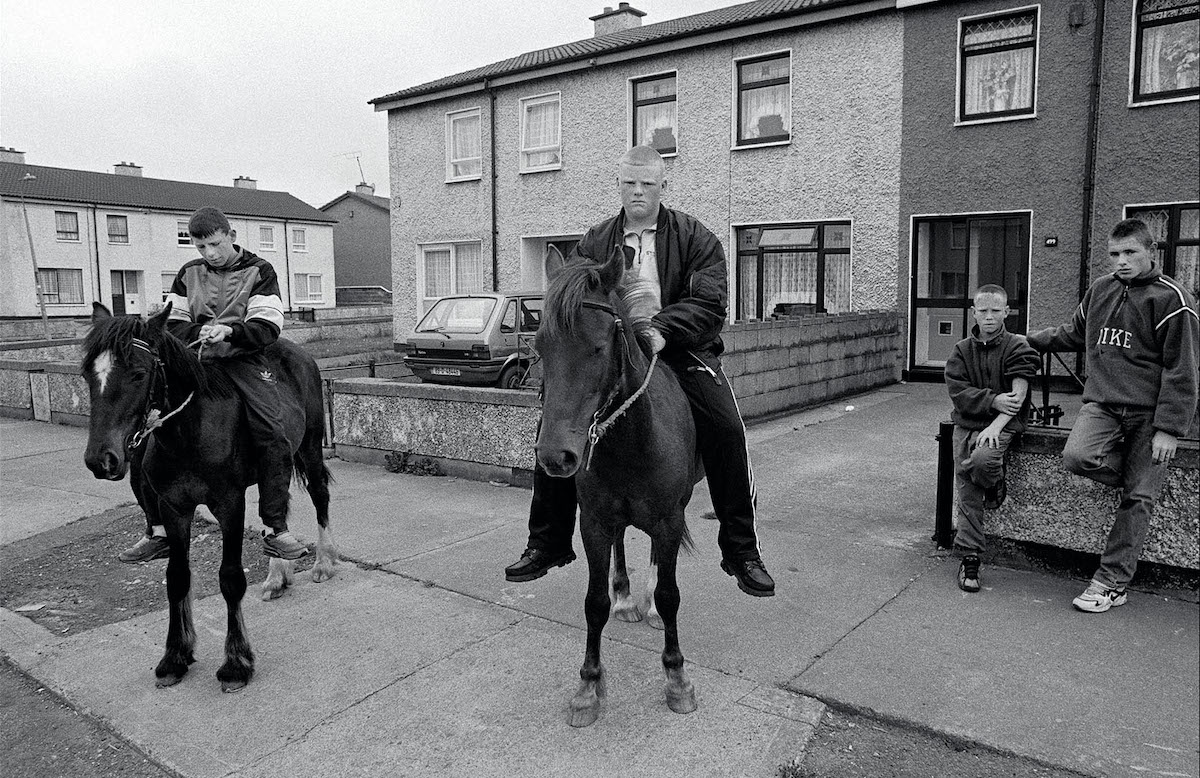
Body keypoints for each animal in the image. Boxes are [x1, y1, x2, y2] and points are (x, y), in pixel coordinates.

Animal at [82, 303, 338, 691]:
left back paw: (323, 562)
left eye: (139, 374)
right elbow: (176, 578)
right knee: (277, 505)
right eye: (86, 374)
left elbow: (230, 579)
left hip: (307, 446)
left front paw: (236, 663)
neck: (189, 433)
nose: (101, 460)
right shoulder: (174, 508)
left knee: (319, 496)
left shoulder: (229, 505)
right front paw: (175, 657)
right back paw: (278, 573)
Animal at [532, 246, 696, 725]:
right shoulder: (594, 523)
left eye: (599, 347)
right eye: (540, 346)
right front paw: (589, 685)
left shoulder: (669, 520)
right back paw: (625, 599)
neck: (633, 443)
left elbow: (670, 593)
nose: (555, 456)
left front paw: (677, 679)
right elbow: (594, 603)